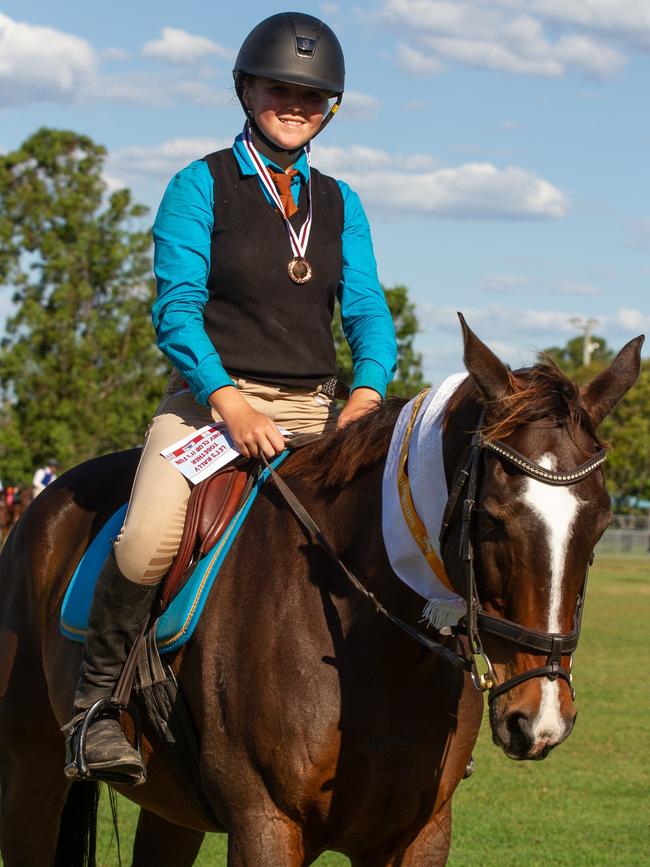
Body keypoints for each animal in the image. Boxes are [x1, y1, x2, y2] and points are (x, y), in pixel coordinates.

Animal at [0, 318, 636, 867]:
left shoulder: (419, 836)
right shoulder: (266, 827)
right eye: (494, 521)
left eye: (601, 525)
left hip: (171, 810)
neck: (378, 656)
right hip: (31, 773)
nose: (540, 720)